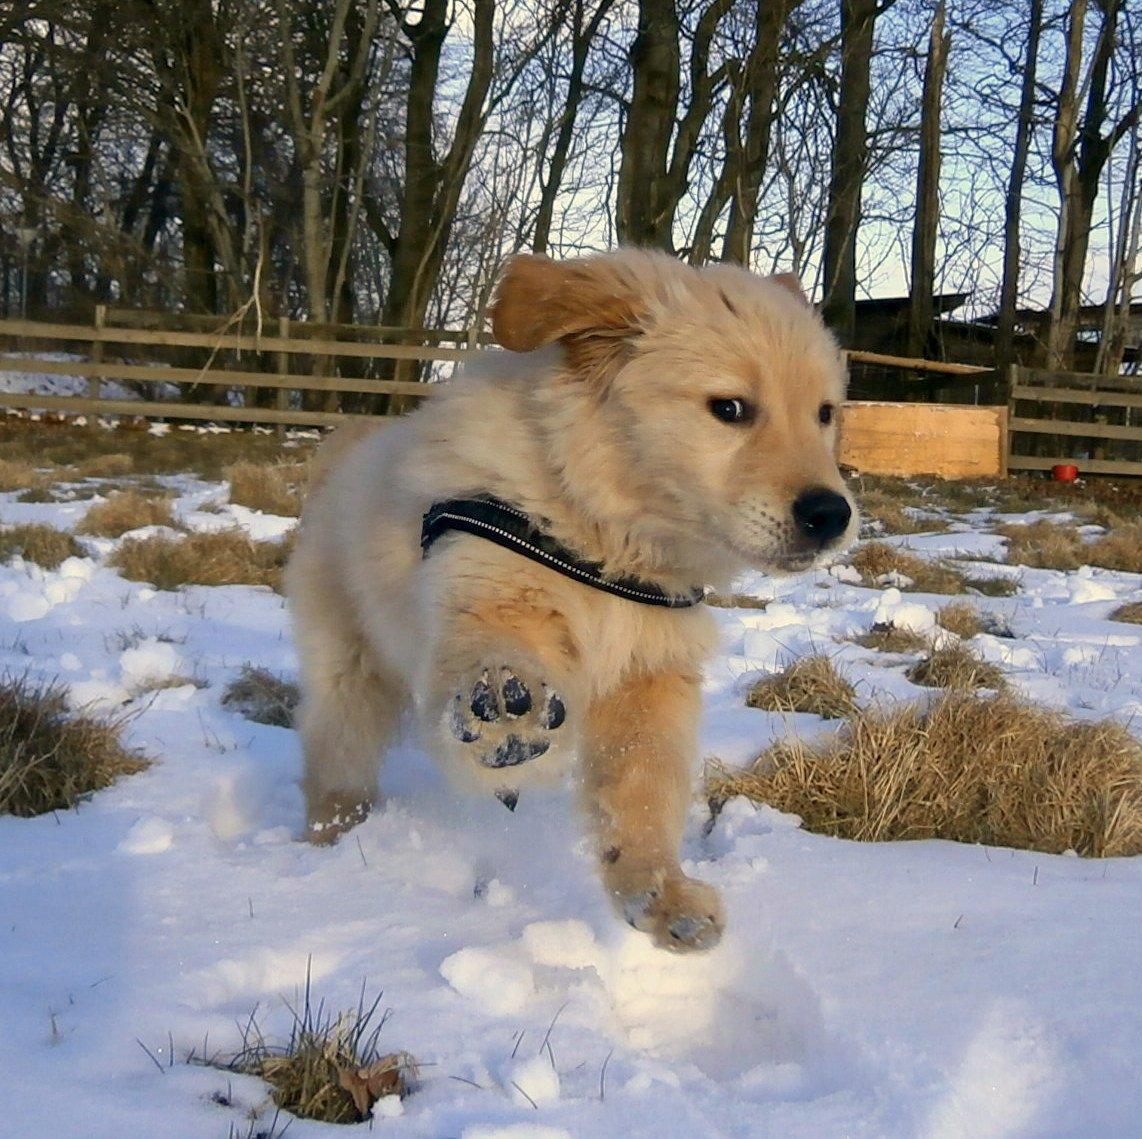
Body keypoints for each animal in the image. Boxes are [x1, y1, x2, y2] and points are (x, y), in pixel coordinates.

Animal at [285, 249, 858, 950]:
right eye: (730, 408)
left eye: (825, 414)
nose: (831, 515)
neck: (606, 533)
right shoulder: (485, 586)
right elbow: (494, 649)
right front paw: (507, 709)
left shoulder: (650, 672)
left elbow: (643, 790)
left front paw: (658, 894)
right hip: (347, 666)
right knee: (336, 755)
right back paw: (332, 846)